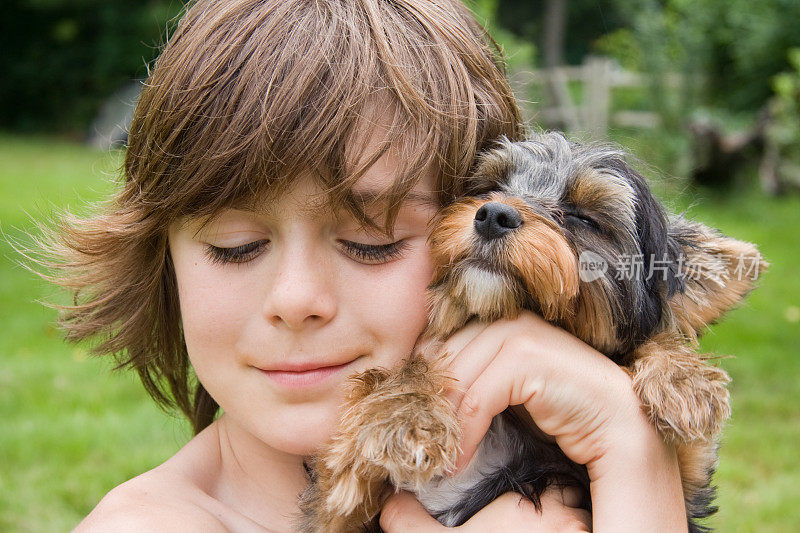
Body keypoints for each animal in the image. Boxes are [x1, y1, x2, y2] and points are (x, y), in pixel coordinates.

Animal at [296, 132, 764, 532]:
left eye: (583, 218)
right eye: (488, 187)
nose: (493, 213)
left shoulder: (687, 484)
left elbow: (681, 425)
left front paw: (685, 379)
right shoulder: (333, 512)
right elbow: (395, 379)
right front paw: (407, 415)